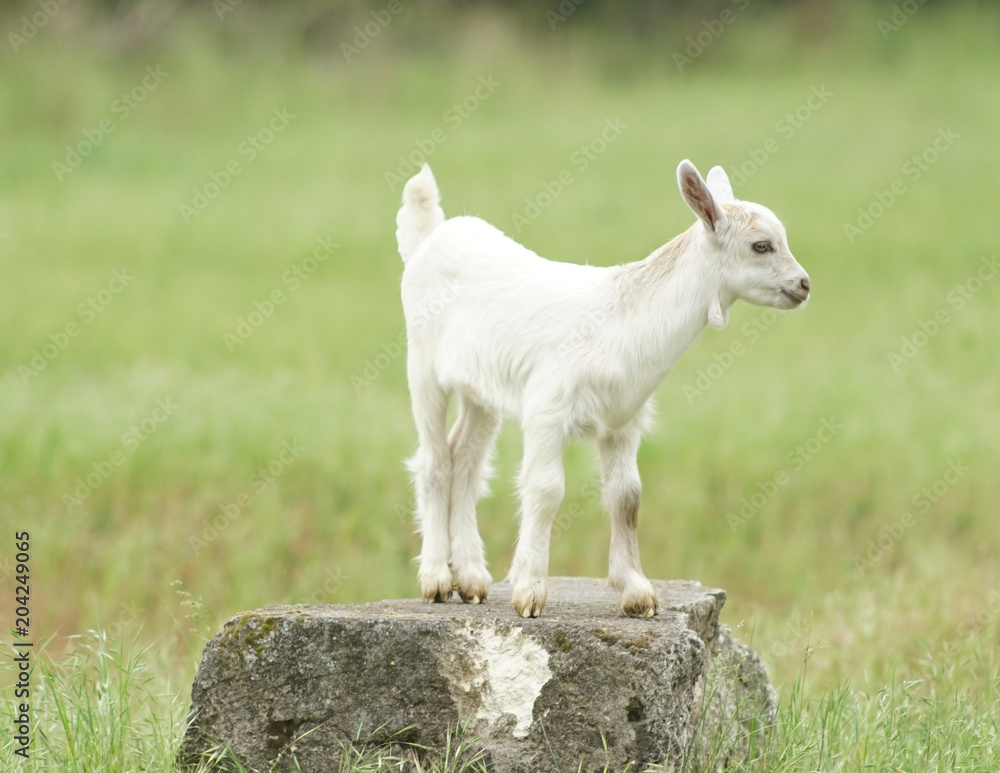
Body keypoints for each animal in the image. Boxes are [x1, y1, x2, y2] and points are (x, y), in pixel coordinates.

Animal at [395, 160, 810, 618]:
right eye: (761, 246)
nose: (804, 285)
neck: (622, 321)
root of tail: (431, 235)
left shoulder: (623, 419)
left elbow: (627, 497)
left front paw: (636, 592)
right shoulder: (547, 408)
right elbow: (546, 489)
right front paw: (530, 592)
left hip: (481, 389)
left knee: (465, 459)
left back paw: (470, 578)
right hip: (423, 364)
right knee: (434, 461)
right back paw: (436, 578)